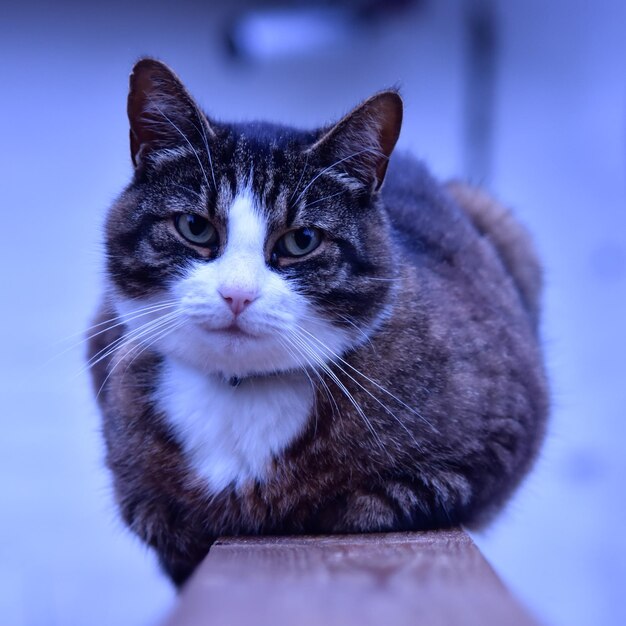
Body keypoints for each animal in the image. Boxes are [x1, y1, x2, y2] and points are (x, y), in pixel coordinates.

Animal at [88, 58, 544, 584]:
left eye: (301, 240)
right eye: (195, 227)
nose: (237, 294)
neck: (240, 391)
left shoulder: (505, 430)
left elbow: (399, 496)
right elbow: (156, 516)